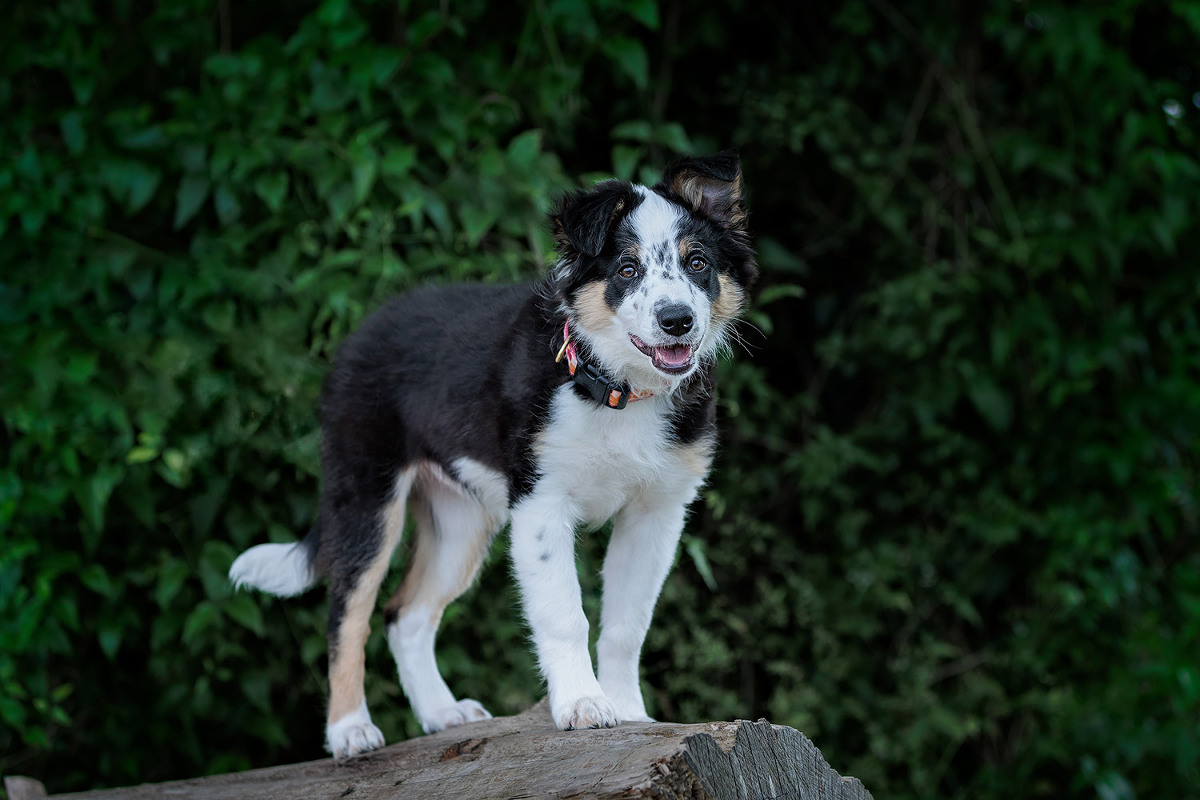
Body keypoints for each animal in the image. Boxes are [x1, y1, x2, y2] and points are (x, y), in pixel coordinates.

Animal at [231, 148, 758, 758]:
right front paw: (583, 705)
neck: (618, 389)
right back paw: (350, 731)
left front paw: (630, 713)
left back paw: (441, 713)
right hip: (366, 494)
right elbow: (565, 615)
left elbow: (627, 623)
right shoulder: (540, 503)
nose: (678, 320)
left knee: (405, 613)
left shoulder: (657, 512)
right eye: (627, 270)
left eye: (697, 263)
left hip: (460, 520)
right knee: (348, 611)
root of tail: (363, 329)